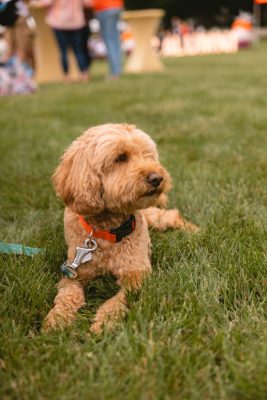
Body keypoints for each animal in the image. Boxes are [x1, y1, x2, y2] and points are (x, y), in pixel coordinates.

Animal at [43, 123, 199, 332]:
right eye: (120, 158)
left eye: (147, 155)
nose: (158, 178)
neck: (107, 230)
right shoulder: (73, 272)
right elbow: (67, 296)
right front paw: (57, 319)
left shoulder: (136, 273)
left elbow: (117, 300)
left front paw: (103, 322)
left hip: (154, 217)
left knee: (172, 216)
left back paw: (196, 231)